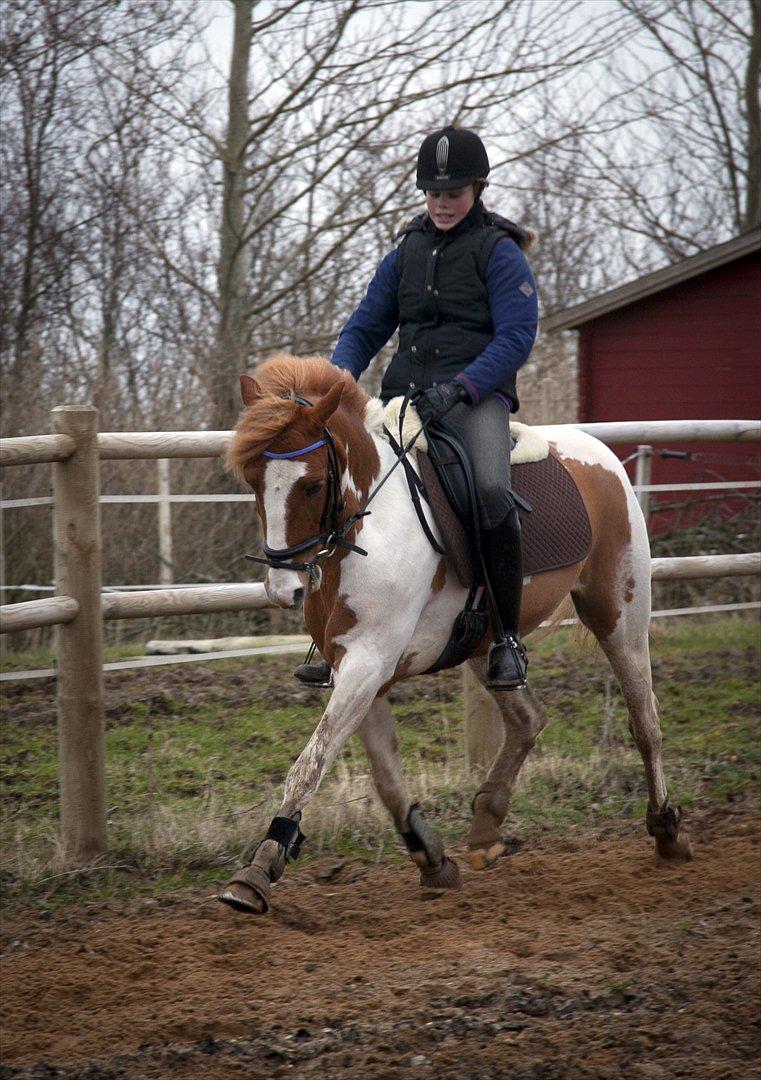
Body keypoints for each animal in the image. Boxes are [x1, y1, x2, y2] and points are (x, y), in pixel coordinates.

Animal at [218, 358, 690, 915]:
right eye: (253, 477)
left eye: (312, 485)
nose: (282, 588)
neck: (369, 528)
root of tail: (599, 455)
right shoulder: (356, 667)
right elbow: (384, 775)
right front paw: (431, 857)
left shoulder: (368, 662)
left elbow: (310, 764)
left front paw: (258, 871)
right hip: (487, 645)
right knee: (529, 719)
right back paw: (487, 822)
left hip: (620, 617)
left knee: (645, 721)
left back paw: (666, 829)